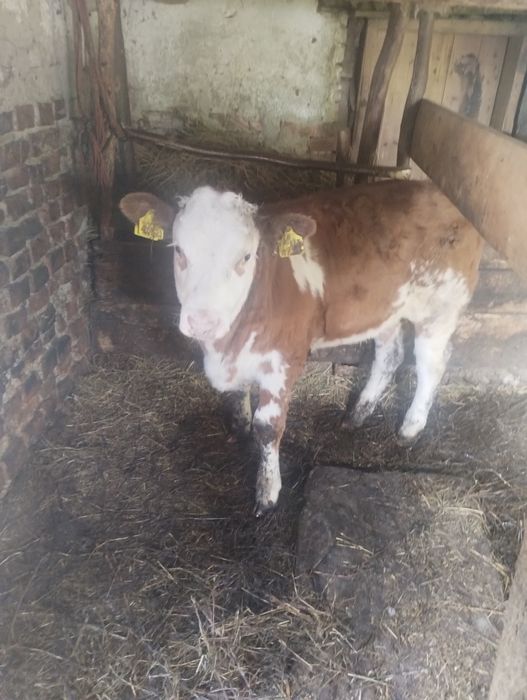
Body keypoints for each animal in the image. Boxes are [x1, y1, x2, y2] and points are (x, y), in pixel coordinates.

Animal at [120, 181, 483, 514]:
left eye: (246, 256)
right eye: (179, 251)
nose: (202, 321)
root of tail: (439, 192)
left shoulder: (284, 360)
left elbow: (268, 428)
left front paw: (267, 493)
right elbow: (237, 394)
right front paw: (238, 426)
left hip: (440, 308)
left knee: (431, 364)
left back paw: (410, 427)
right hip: (385, 310)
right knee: (390, 355)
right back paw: (358, 414)